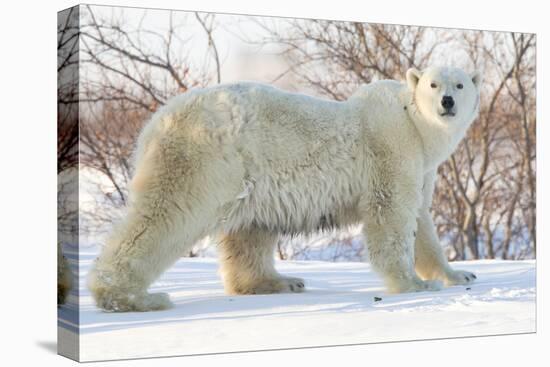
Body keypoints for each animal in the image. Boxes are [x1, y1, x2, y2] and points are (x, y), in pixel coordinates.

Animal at [89, 67, 484, 314]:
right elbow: (392, 214)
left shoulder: (422, 166)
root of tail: (156, 123)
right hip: (203, 157)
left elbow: (421, 220)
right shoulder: (391, 148)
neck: (413, 123)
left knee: (249, 230)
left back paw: (280, 281)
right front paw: (414, 285)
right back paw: (129, 296)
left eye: (460, 85)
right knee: (164, 215)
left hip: (248, 174)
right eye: (433, 84)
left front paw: (459, 275)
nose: (447, 102)